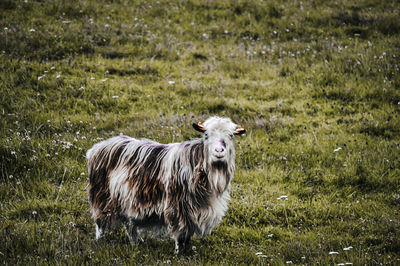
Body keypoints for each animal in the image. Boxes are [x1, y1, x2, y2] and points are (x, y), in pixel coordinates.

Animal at [86, 117, 245, 254]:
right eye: (206, 134)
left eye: (231, 136)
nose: (219, 151)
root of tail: (97, 148)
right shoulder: (178, 207)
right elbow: (181, 234)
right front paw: (179, 254)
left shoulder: (194, 211)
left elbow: (187, 234)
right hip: (102, 195)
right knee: (101, 223)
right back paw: (101, 240)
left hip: (125, 199)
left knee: (129, 223)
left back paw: (136, 242)